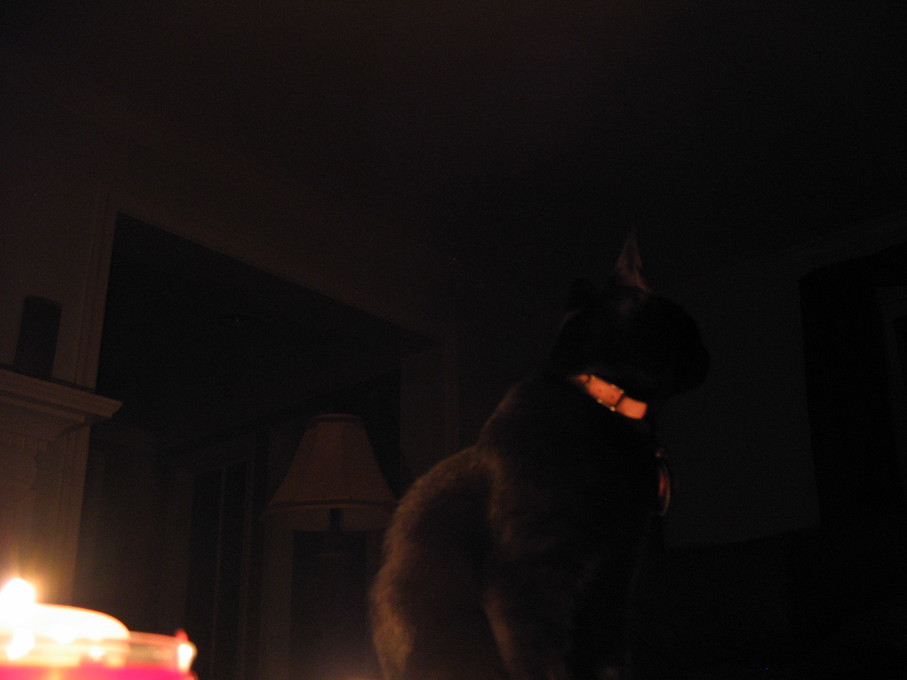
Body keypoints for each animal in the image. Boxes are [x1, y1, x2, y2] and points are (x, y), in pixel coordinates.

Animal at [370, 236, 709, 680]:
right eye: (685, 320)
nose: (708, 352)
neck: (605, 410)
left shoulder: (617, 579)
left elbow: (611, 661)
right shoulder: (529, 577)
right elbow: (542, 661)